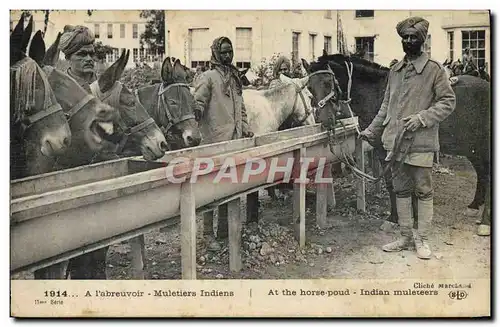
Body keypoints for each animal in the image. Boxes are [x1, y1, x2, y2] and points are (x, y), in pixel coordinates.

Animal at [306, 54, 490, 238]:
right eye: (309, 87)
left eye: (328, 83)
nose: (325, 121)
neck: (378, 94)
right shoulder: (385, 152)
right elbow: (395, 184)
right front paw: (404, 217)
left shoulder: (389, 152)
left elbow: (397, 184)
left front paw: (401, 219)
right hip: (473, 149)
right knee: (482, 173)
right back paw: (474, 206)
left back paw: (485, 222)